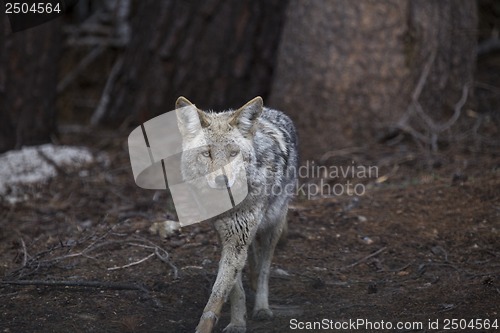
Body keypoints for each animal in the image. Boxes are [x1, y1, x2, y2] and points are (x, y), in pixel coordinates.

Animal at [176, 96, 298, 332]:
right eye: (207, 153)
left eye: (234, 153)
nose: (222, 180)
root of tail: (271, 111)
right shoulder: (225, 233)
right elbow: (234, 288)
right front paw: (237, 322)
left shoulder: (239, 235)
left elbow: (220, 291)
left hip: (274, 227)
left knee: (264, 269)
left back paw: (262, 307)